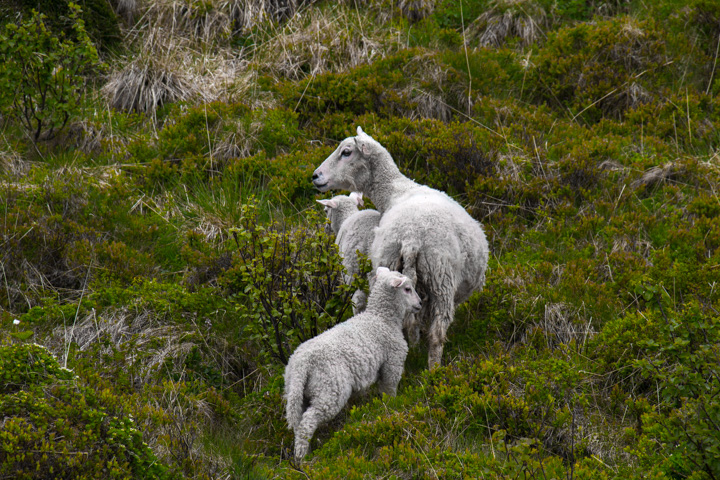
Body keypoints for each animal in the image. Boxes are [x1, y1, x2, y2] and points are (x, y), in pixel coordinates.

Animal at [284, 268, 424, 460]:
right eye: (407, 289)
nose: (420, 303)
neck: (381, 319)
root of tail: (301, 364)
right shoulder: (392, 363)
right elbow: (389, 392)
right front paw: (391, 410)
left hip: (297, 392)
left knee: (299, 423)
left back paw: (304, 453)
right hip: (330, 389)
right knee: (308, 421)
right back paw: (303, 458)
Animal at [312, 126, 492, 368]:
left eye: (346, 152)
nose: (315, 176)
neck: (396, 191)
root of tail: (412, 237)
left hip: (411, 270)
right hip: (440, 280)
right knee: (435, 333)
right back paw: (433, 369)